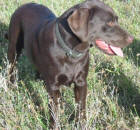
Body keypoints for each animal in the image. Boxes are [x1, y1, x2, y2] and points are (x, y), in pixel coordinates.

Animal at [6, 0, 133, 128]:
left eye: (116, 20)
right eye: (110, 22)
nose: (131, 39)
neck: (72, 52)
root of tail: (24, 5)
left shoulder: (81, 82)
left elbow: (81, 108)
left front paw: (81, 126)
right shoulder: (53, 86)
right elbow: (54, 111)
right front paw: (54, 127)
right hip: (13, 49)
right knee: (12, 68)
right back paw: (12, 88)